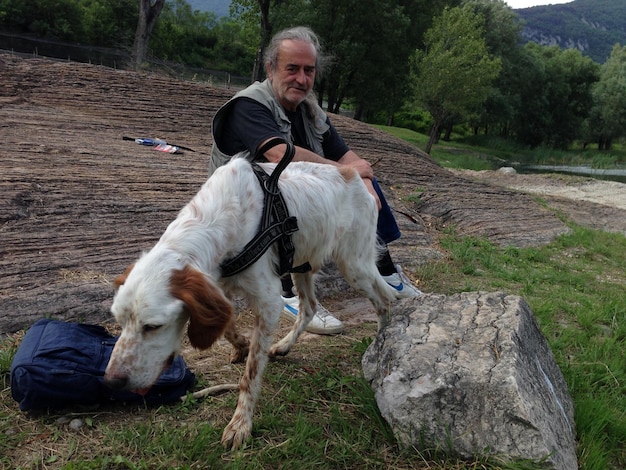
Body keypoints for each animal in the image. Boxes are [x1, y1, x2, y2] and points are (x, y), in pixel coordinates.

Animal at [103, 156, 400, 450]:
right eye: (119, 321)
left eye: (153, 326)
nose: (112, 381)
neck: (218, 218)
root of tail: (354, 174)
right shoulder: (219, 286)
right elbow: (227, 326)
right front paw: (241, 346)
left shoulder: (268, 301)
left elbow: (251, 374)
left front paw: (240, 425)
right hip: (302, 263)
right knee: (309, 307)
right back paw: (283, 346)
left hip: (354, 265)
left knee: (384, 300)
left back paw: (379, 347)